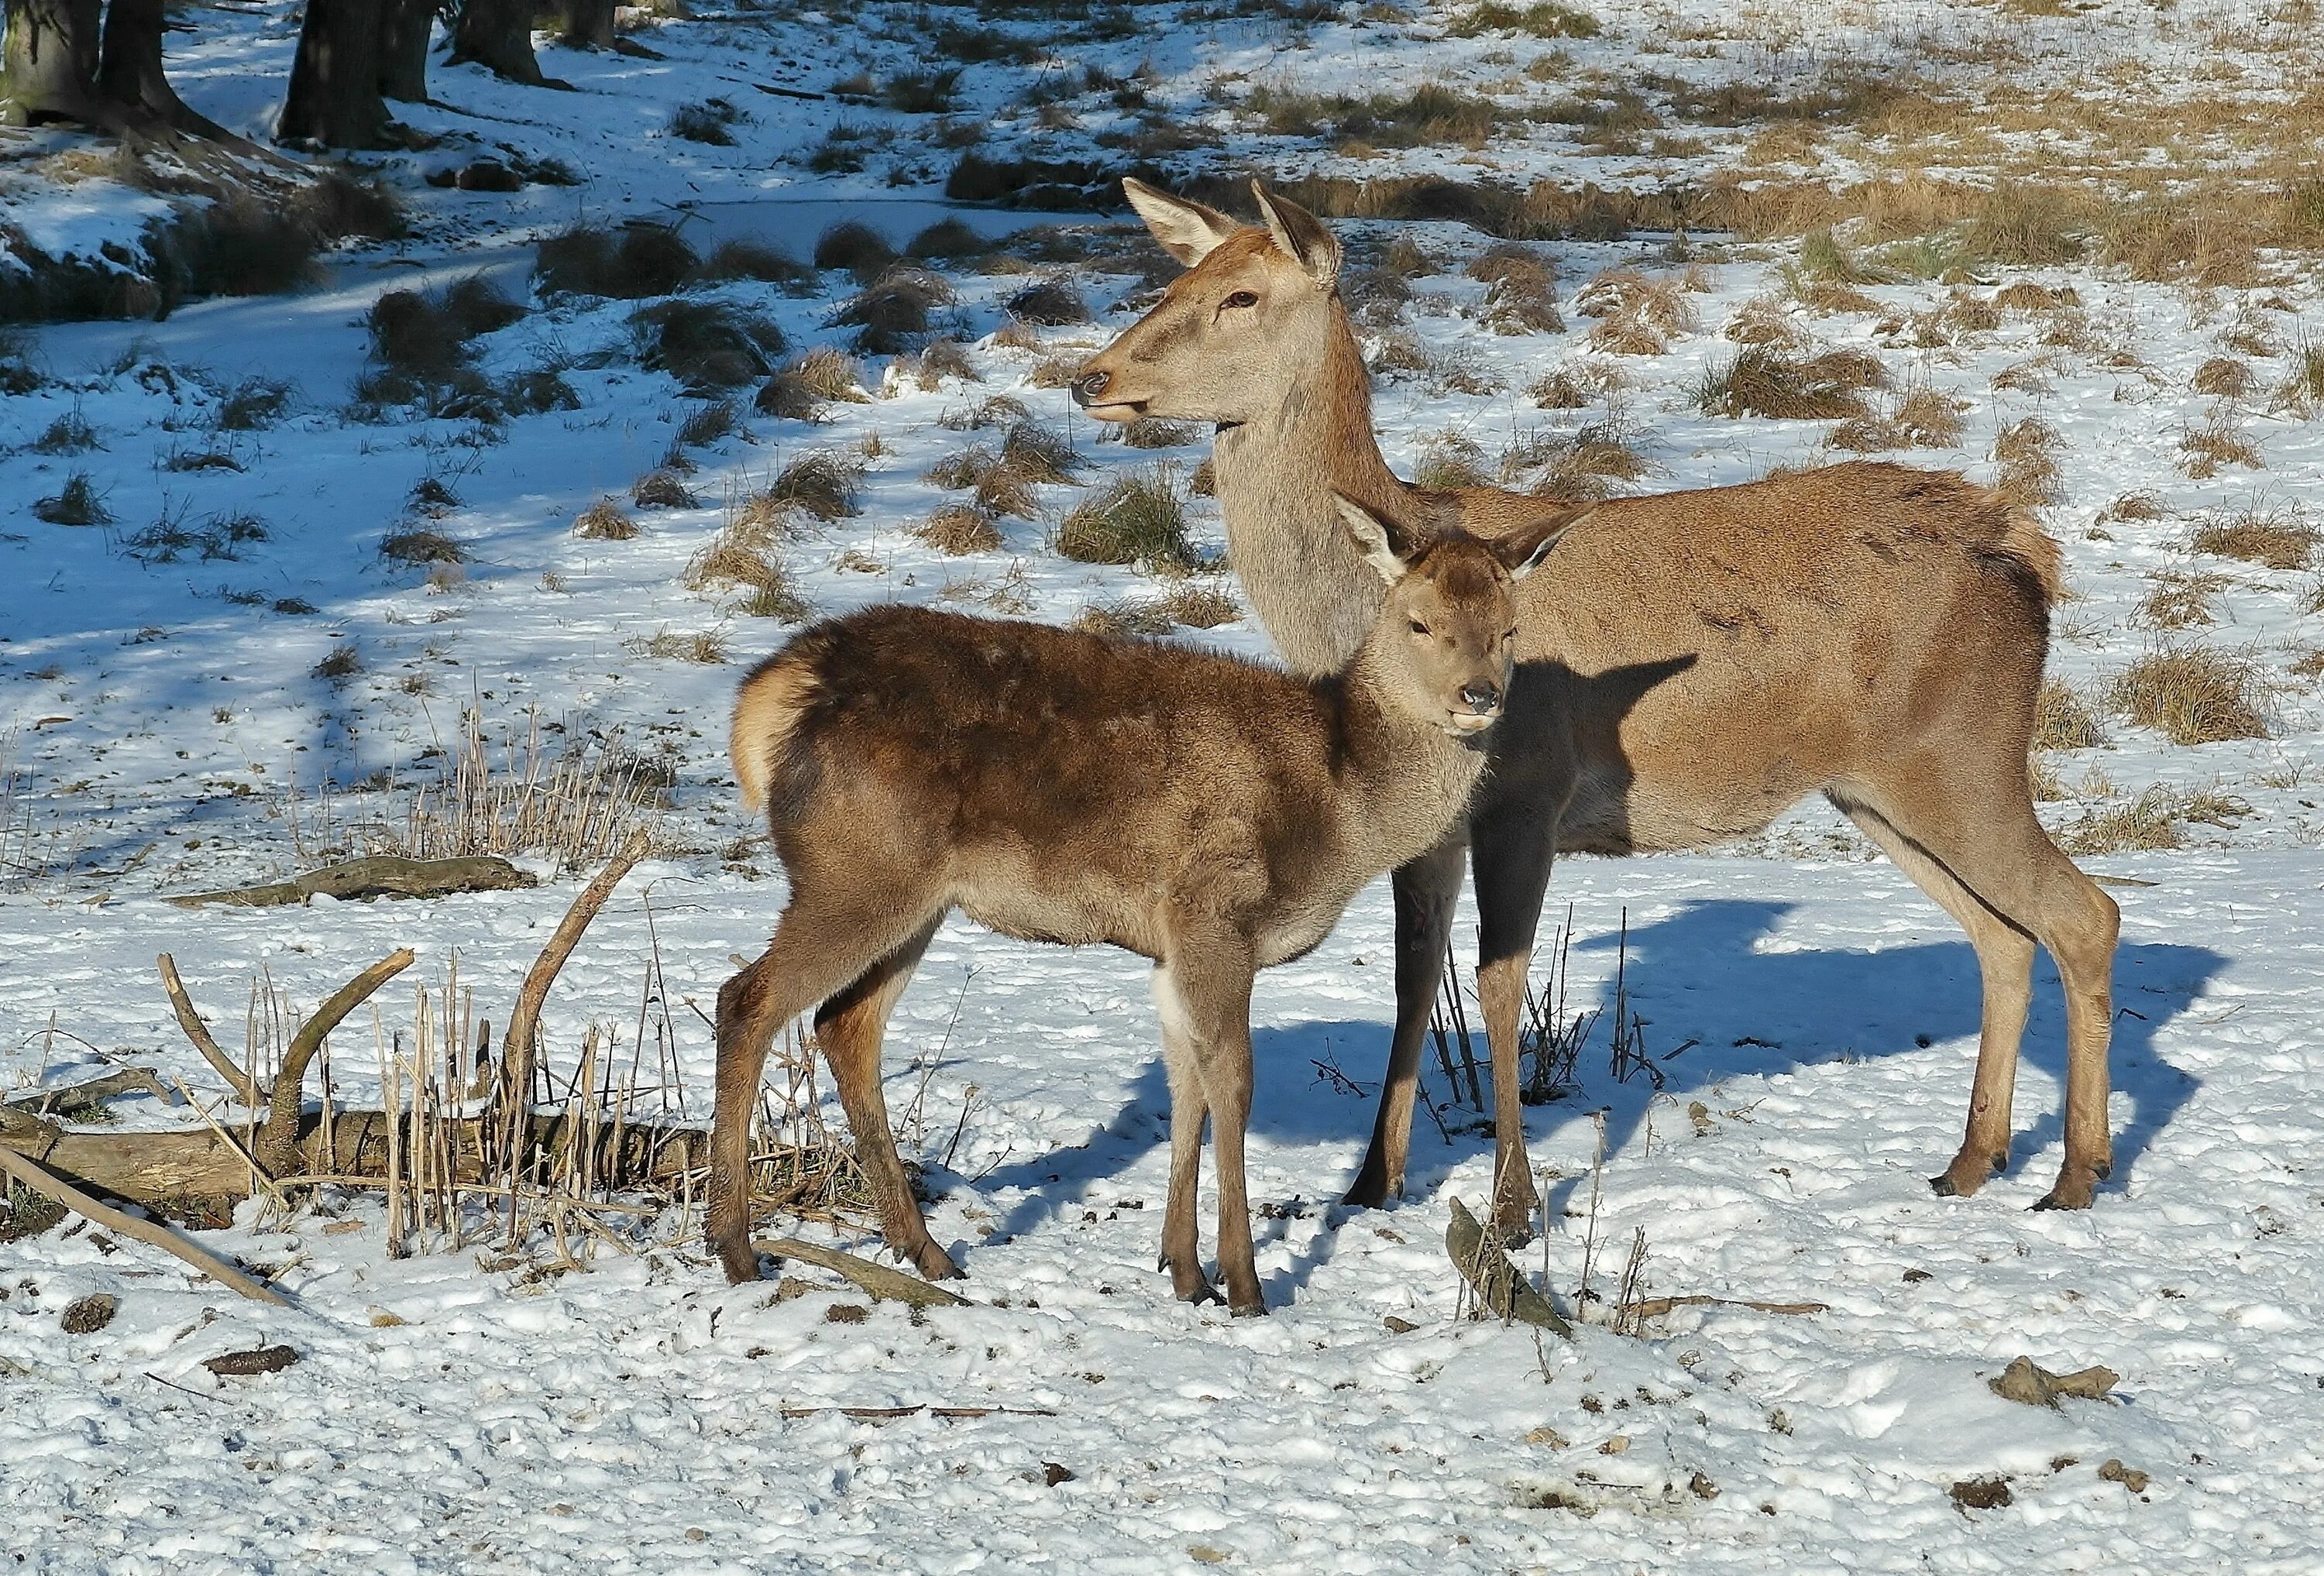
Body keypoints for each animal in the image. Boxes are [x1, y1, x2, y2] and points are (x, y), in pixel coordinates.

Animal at [706, 500, 1571, 1310]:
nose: (1480, 695)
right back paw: (738, 1247)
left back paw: (924, 1249)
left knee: (843, 1023)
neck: (1340, 805)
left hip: (911, 898)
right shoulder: (1215, 910)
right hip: (858, 871)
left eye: (1509, 628)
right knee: (747, 998)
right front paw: (1245, 1283)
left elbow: (1186, 1084)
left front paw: (1185, 1271)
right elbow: (1233, 1083)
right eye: (1419, 621)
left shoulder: (1171, 946)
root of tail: (764, 703)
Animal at [1069, 175, 2129, 1236]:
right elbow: (1418, 979)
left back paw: (2075, 1173)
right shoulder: (1426, 828)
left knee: (2085, 914)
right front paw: (1371, 1181)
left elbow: (1497, 985)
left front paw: (1512, 1203)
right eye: (1178, 277)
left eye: (1242, 295)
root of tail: (2030, 554)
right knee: (2003, 935)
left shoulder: (1528, 789)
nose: (1089, 375)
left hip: (1965, 754)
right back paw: (1972, 1159)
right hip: (1878, 790)